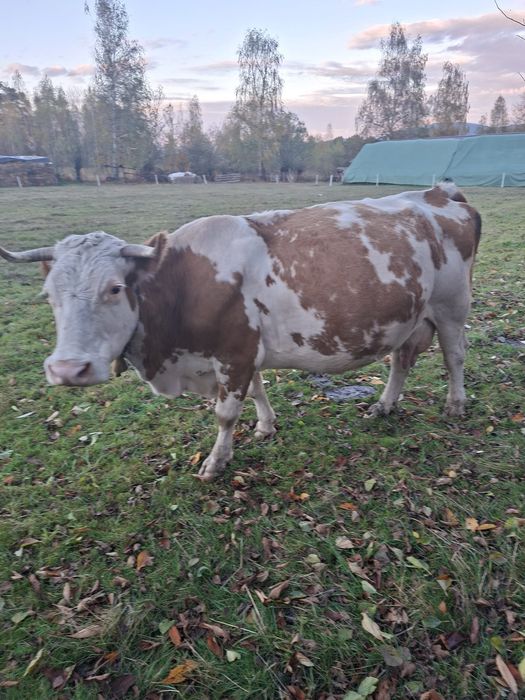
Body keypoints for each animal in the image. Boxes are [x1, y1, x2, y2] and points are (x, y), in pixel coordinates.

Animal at [0, 182, 481, 481]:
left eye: (115, 288)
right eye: (48, 294)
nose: (68, 370)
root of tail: (438, 192)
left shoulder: (234, 352)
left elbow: (226, 412)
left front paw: (216, 461)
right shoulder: (243, 352)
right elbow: (257, 390)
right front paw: (266, 426)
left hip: (452, 305)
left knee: (455, 354)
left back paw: (455, 404)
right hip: (411, 315)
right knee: (401, 359)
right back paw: (384, 405)